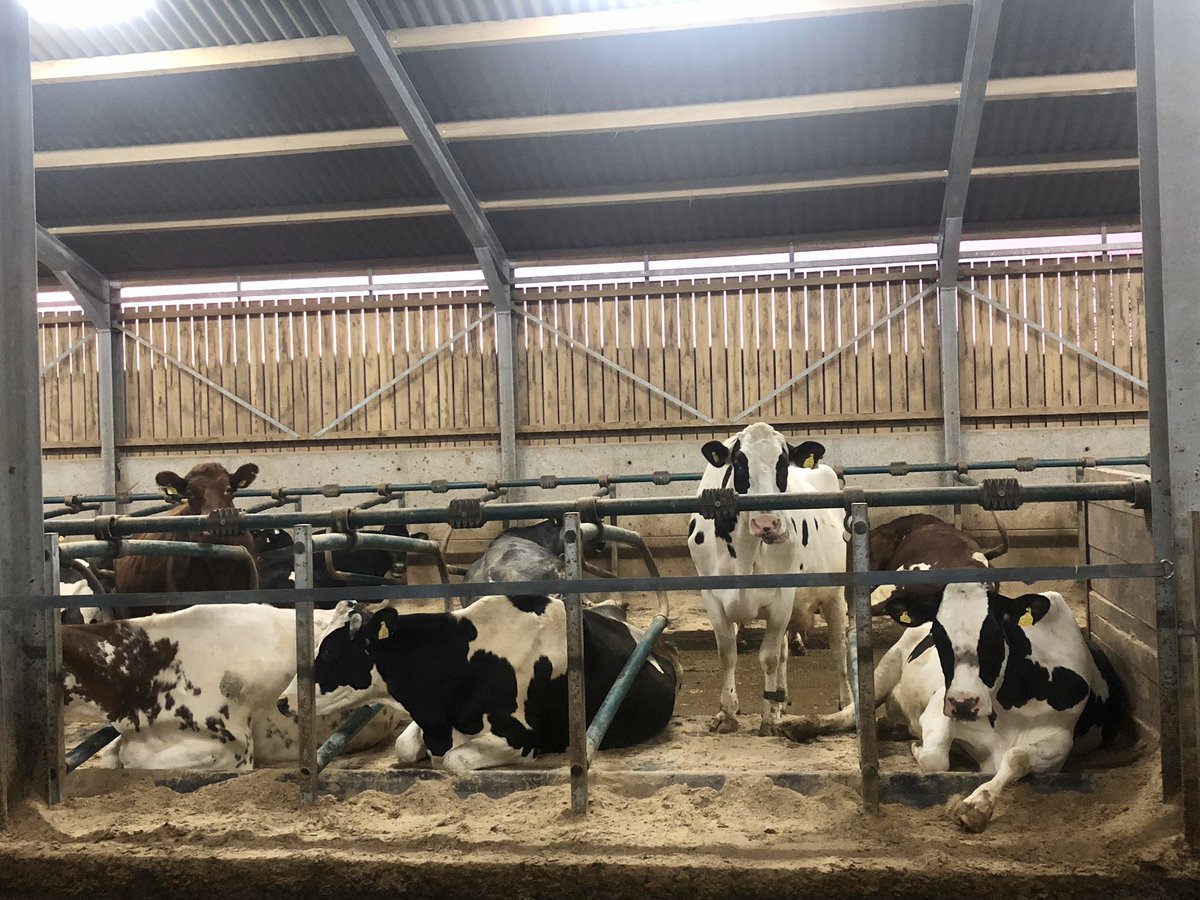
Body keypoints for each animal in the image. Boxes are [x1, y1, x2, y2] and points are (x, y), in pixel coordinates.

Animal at [687, 422, 849, 735]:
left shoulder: (781, 598)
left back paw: (846, 703)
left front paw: (769, 718)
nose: (767, 525)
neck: (744, 553)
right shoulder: (711, 596)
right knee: (787, 652)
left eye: (782, 463)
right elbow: (727, 653)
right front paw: (727, 713)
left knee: (839, 648)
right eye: (739, 463)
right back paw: (781, 700)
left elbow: (769, 657)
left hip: (835, 594)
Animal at [775, 585, 1124, 832]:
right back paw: (801, 725)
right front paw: (920, 749)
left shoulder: (1061, 740)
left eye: (995, 633)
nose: (964, 702)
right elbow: (934, 758)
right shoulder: (938, 709)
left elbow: (1017, 758)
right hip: (888, 663)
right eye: (938, 635)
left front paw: (977, 806)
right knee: (856, 712)